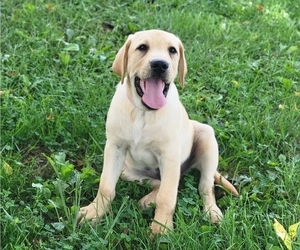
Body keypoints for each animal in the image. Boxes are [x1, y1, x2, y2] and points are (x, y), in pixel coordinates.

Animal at [78, 29, 239, 234]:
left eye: (172, 50)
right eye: (142, 47)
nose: (160, 64)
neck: (143, 113)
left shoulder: (169, 156)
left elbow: (167, 197)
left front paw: (161, 228)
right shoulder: (115, 148)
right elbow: (106, 185)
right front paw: (94, 212)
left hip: (206, 138)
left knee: (204, 185)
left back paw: (212, 211)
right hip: (127, 171)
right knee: (159, 183)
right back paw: (147, 201)